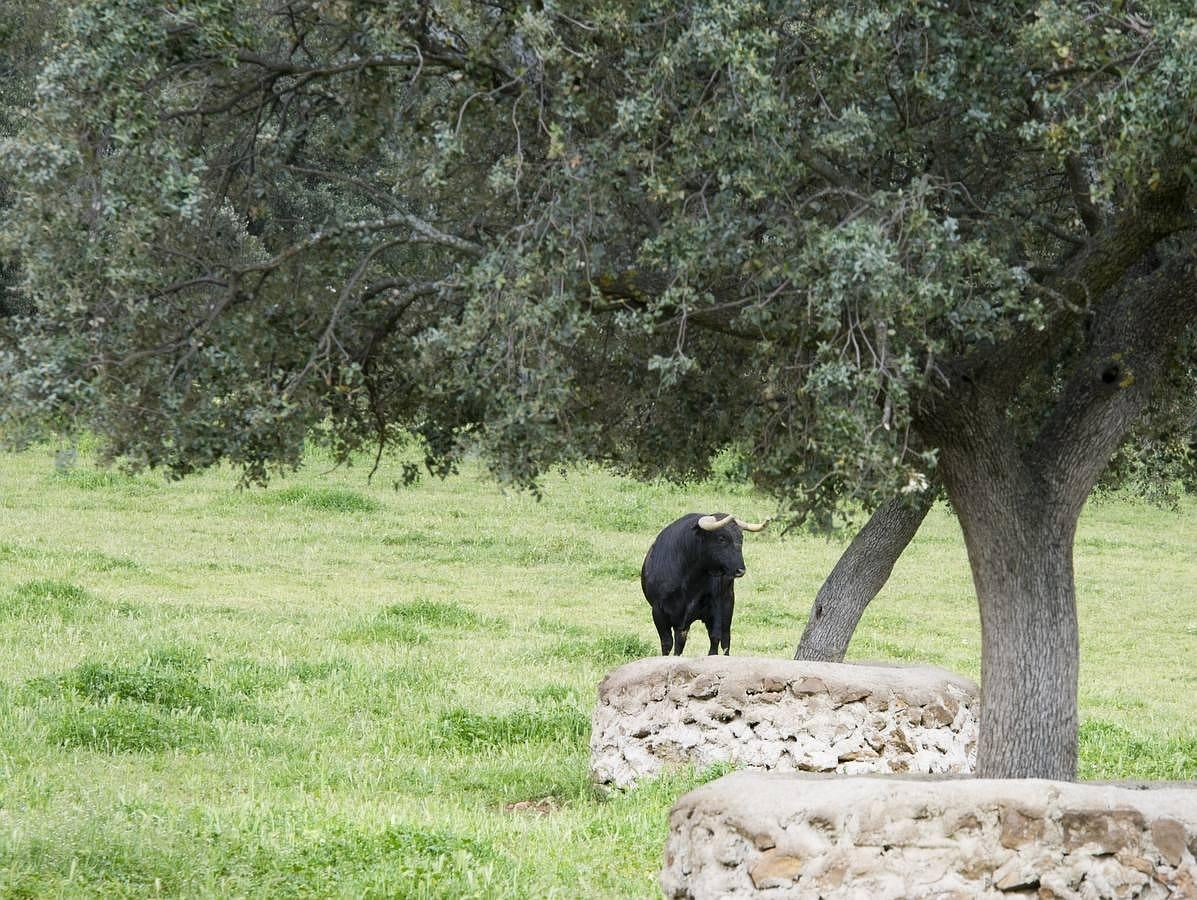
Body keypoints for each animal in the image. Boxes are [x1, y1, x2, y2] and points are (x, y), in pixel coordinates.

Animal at [646, 512, 766, 655]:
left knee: (725, 638)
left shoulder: (716, 605)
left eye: (741, 538)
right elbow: (667, 643)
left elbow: (715, 638)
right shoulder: (658, 610)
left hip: (728, 604)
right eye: (722, 538)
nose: (740, 570)